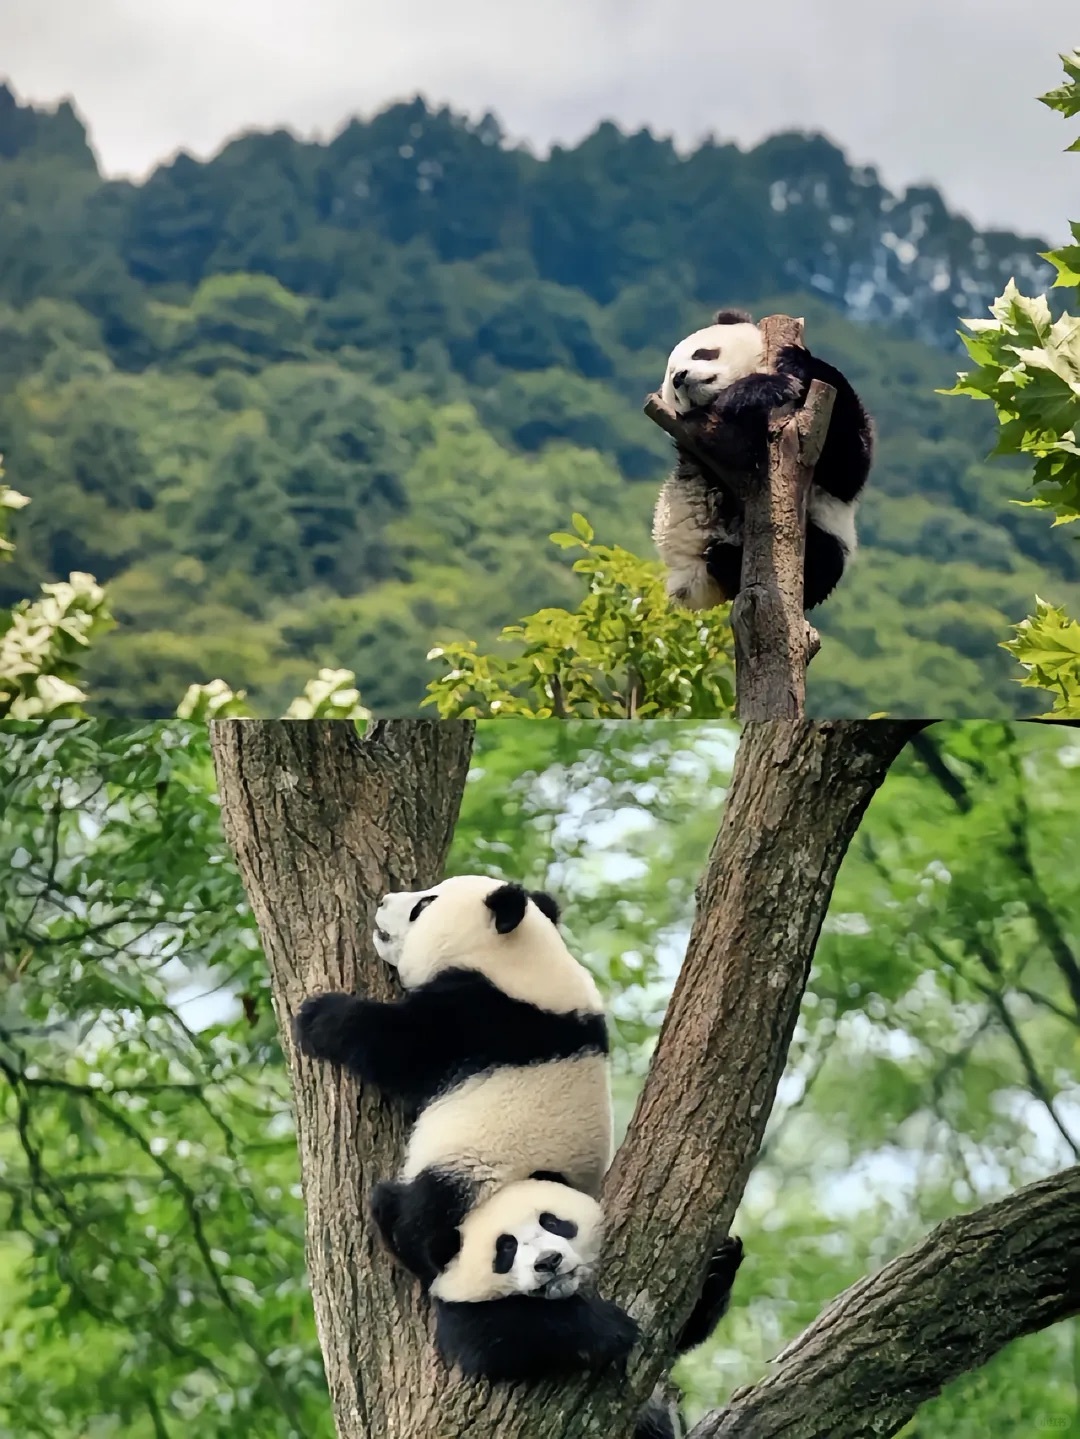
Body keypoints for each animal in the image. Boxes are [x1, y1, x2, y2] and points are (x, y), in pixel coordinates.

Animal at [296, 869, 612, 1289]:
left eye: (423, 905)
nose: (382, 901)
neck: (522, 958)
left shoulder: (483, 1017)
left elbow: (400, 1046)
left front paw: (317, 1016)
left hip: (474, 1173)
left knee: (426, 1220)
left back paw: (391, 1213)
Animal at [431, 1174, 742, 1433]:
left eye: (552, 1222)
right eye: (507, 1246)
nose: (548, 1261)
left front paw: (721, 1266)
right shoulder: (453, 1299)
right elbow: (487, 1335)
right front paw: (609, 1327)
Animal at [650, 309, 868, 613]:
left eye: (701, 353)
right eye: (673, 383)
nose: (681, 376)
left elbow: (848, 464)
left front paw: (796, 362)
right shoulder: (697, 440)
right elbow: (736, 445)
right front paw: (760, 389)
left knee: (825, 556)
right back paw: (725, 555)